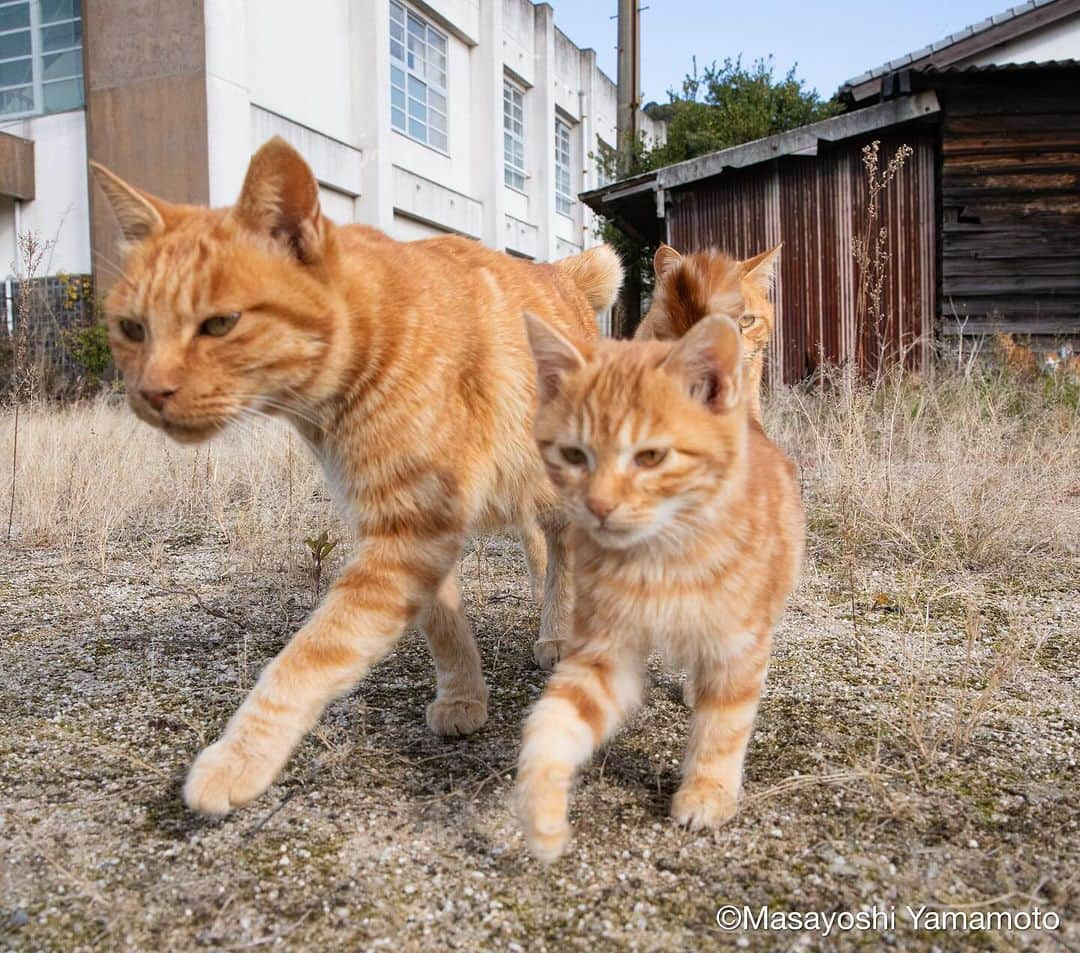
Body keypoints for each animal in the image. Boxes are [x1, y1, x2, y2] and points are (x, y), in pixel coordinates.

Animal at [90, 137, 626, 812]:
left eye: (219, 324)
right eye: (132, 329)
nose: (149, 393)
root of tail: (557, 272)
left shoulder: (409, 535)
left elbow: (309, 657)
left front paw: (238, 757)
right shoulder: (408, 534)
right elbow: (443, 625)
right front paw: (463, 696)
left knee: (564, 548)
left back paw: (559, 628)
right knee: (537, 539)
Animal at [514, 309, 803, 860]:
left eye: (649, 457)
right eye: (574, 455)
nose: (599, 506)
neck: (661, 557)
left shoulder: (736, 644)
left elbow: (723, 725)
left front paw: (707, 791)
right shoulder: (605, 651)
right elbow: (554, 720)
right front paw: (541, 808)